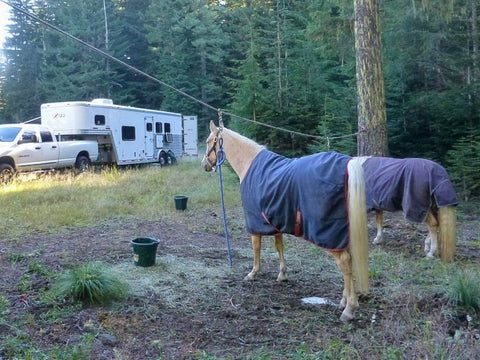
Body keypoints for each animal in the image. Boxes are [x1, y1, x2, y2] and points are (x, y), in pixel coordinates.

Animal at [201, 121, 370, 320]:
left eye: (208, 141)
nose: (204, 165)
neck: (249, 165)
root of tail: (347, 163)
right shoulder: (274, 220)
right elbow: (279, 246)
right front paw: (282, 275)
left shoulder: (255, 221)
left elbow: (256, 248)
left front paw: (253, 273)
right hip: (343, 231)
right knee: (348, 261)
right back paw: (343, 301)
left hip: (328, 233)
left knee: (344, 262)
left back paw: (349, 309)